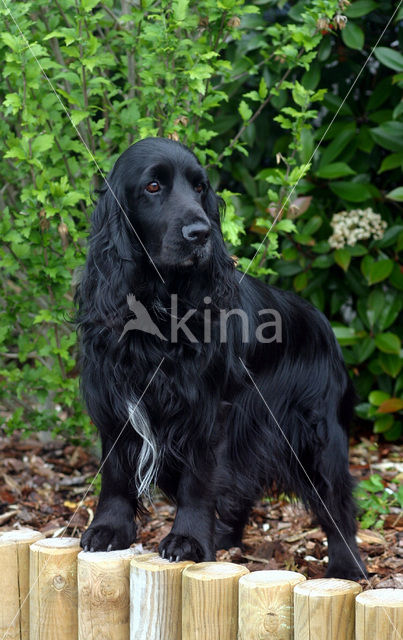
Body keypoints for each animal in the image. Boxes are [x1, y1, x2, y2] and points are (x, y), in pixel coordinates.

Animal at [77, 138, 368, 584]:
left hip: (318, 436)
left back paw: (346, 567)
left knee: (337, 502)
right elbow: (115, 474)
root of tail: (323, 321)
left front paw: (190, 541)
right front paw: (109, 529)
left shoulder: (210, 411)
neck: (161, 305)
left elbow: (198, 481)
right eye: (153, 186)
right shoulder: (114, 400)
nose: (200, 233)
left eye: (200, 188)